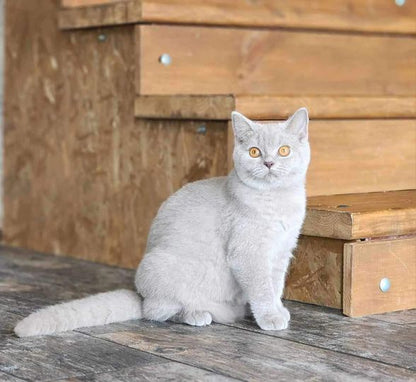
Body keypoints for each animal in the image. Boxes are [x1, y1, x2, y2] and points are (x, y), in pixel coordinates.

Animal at [14, 106, 308, 336]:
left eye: (284, 150)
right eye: (255, 152)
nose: (269, 163)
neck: (278, 201)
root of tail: (140, 295)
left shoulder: (281, 252)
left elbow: (275, 286)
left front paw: (278, 310)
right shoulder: (248, 255)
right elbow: (262, 288)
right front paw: (271, 317)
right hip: (162, 272)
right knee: (157, 312)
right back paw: (196, 314)